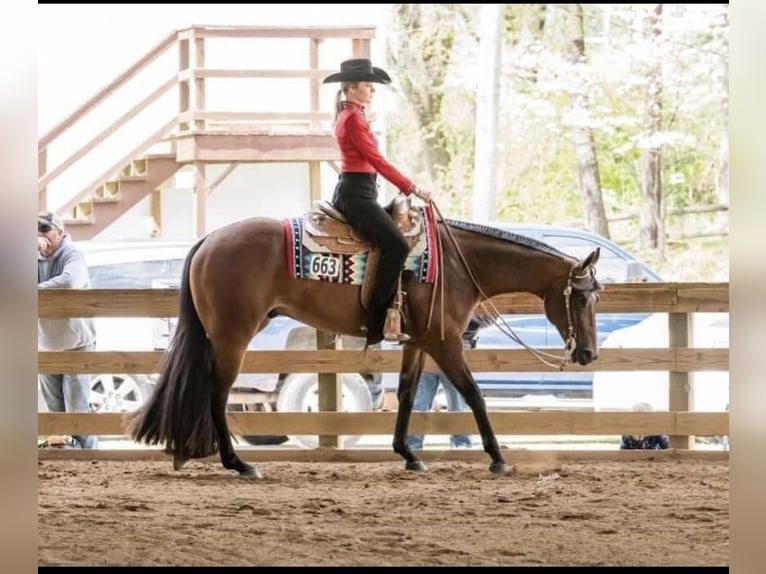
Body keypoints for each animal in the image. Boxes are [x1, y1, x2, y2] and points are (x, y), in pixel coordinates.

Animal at [127, 201, 602, 479]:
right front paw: (498, 458)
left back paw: (185, 452)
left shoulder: (418, 341)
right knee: (216, 392)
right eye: (581, 297)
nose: (588, 353)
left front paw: (407, 454)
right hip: (233, 335)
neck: (455, 263)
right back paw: (238, 463)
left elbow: (408, 394)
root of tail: (208, 239)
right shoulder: (445, 341)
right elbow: (474, 394)